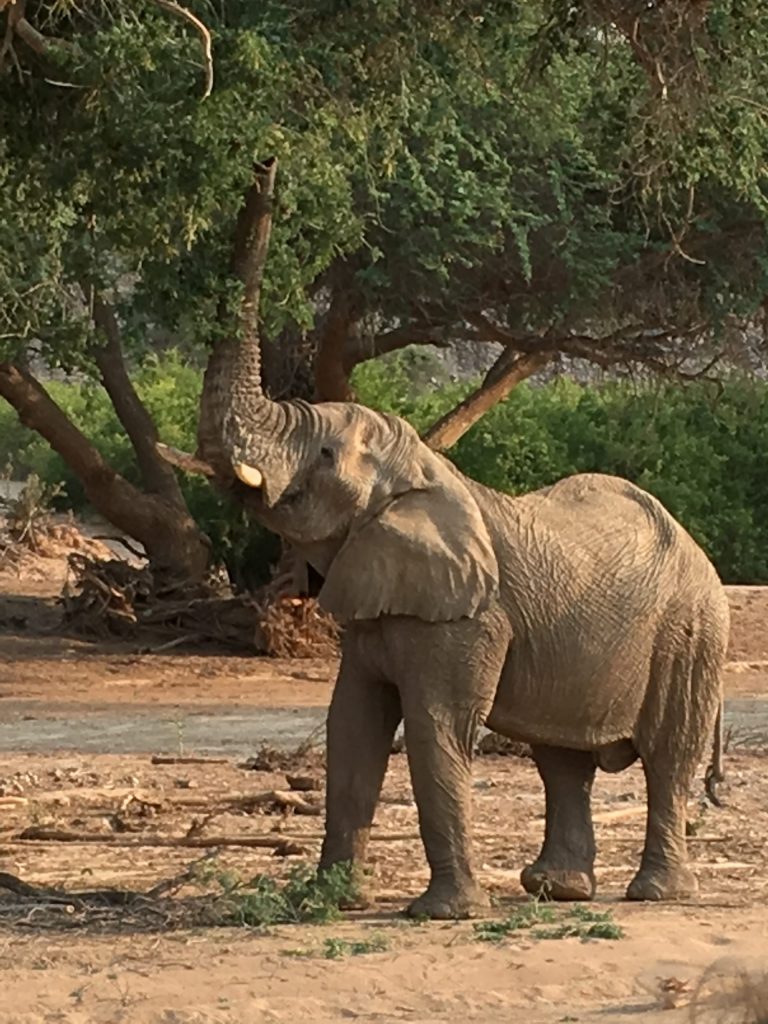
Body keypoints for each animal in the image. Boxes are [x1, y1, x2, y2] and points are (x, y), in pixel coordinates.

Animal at [159, 333, 729, 921]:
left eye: (325, 453)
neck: (421, 473)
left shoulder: (468, 617)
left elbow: (435, 726)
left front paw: (443, 913)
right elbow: (352, 725)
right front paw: (330, 901)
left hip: (691, 633)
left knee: (667, 756)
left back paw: (656, 892)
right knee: (562, 760)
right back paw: (557, 889)